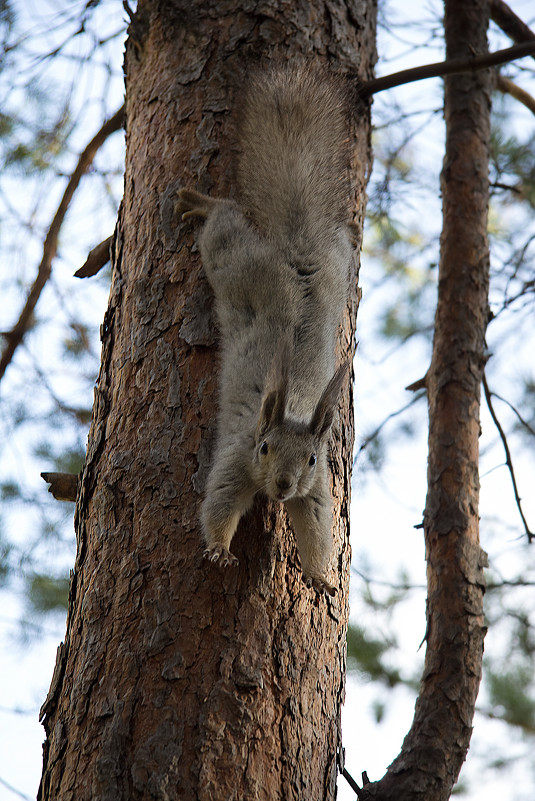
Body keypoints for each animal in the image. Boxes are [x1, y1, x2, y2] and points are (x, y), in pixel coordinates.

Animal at [178, 64, 354, 592]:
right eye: (264, 447)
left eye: (312, 459)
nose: (282, 485)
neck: (290, 410)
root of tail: (294, 257)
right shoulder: (237, 459)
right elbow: (217, 505)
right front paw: (219, 551)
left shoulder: (316, 490)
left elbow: (315, 531)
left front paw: (318, 576)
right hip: (232, 262)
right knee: (223, 223)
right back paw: (204, 203)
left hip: (340, 264)